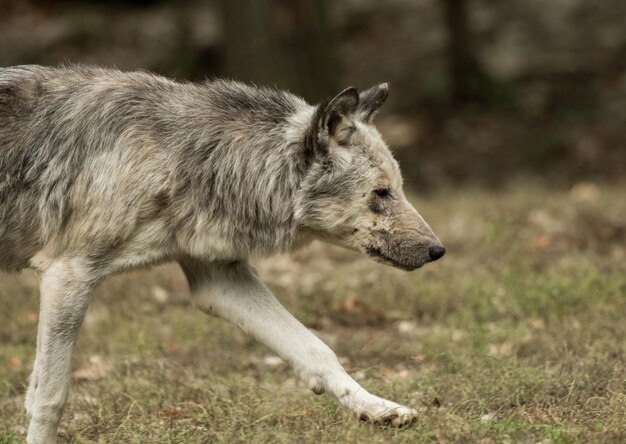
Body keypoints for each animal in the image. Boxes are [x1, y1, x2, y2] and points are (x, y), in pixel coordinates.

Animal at [0, 64, 444, 442]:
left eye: (399, 188)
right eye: (381, 193)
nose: (438, 250)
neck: (188, 157)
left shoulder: (218, 280)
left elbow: (316, 349)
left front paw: (377, 408)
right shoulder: (68, 276)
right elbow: (51, 397)